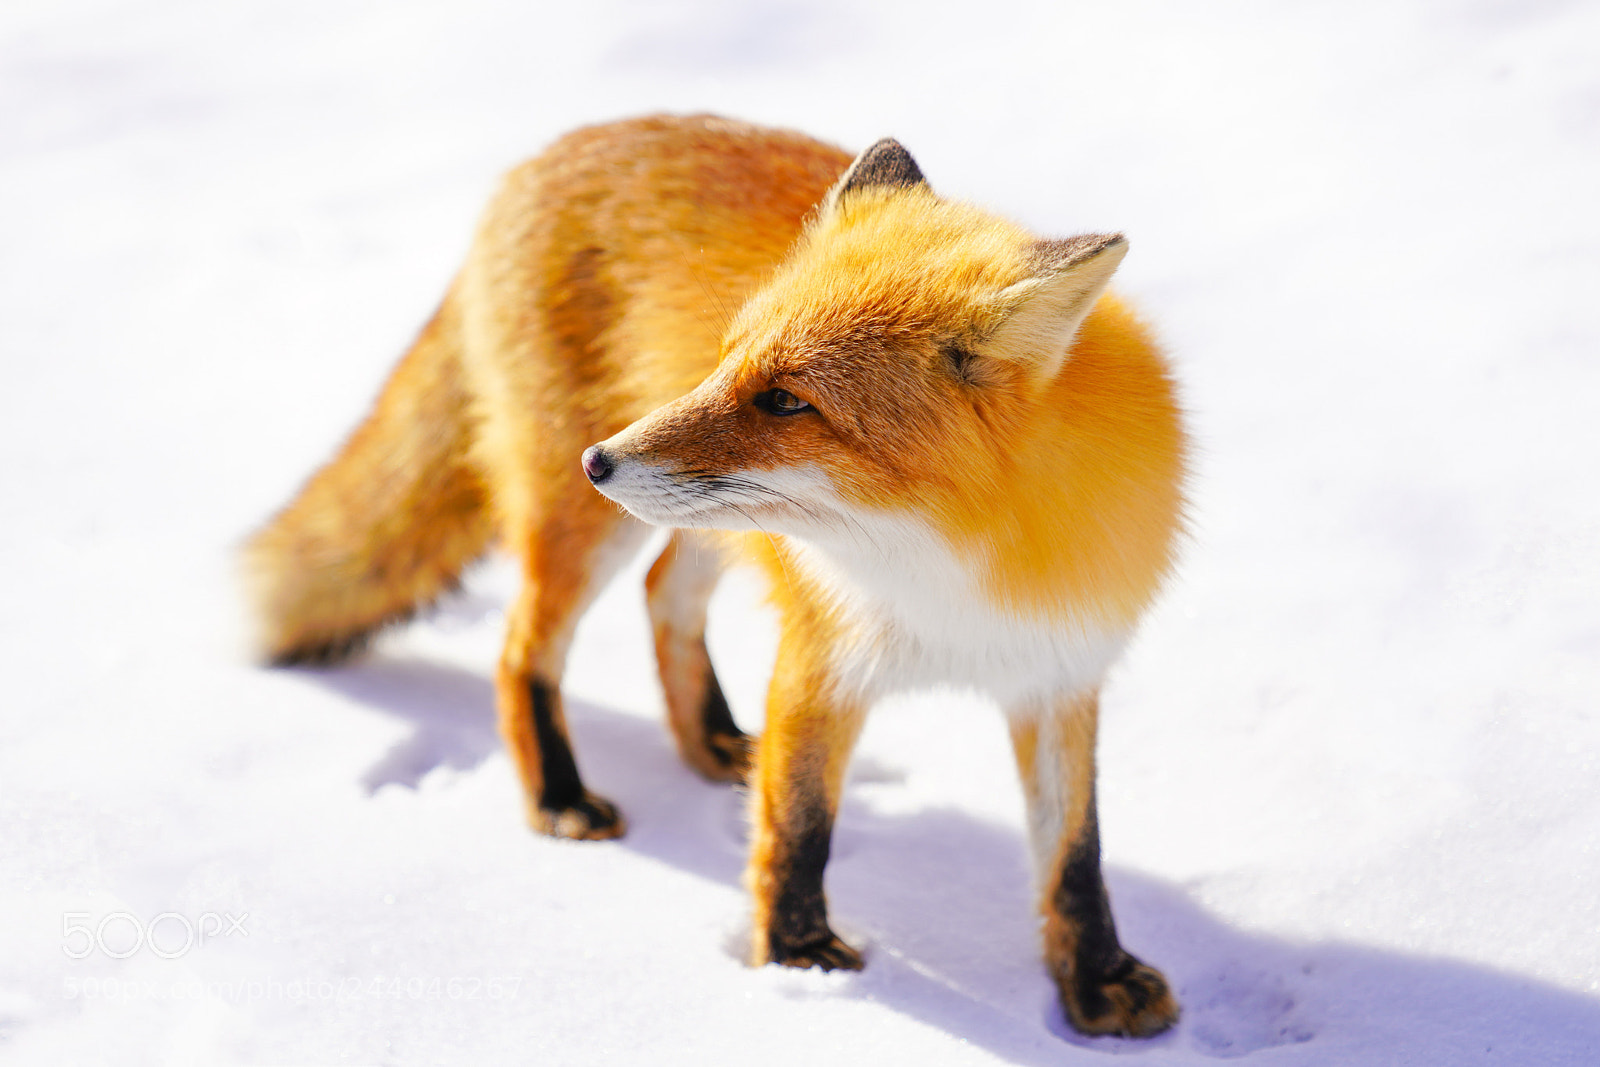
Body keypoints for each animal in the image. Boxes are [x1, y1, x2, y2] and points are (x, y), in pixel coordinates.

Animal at [244, 113, 1187, 1038]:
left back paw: (711, 741)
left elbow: (1075, 854)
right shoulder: (822, 654)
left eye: (787, 400)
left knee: (662, 592)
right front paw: (799, 961)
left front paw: (1096, 979)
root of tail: (551, 148)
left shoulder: (1057, 675)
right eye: (726, 359)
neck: (957, 564)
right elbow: (798, 827)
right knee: (521, 651)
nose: (599, 460)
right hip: (580, 531)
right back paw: (559, 796)